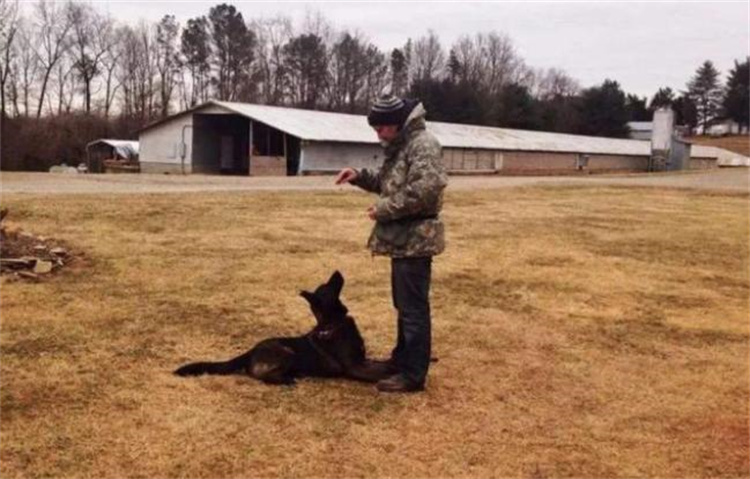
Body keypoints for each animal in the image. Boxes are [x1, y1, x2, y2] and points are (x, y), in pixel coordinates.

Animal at [174, 270, 390, 386]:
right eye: (327, 286)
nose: (336, 272)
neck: (332, 323)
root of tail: (250, 351)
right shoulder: (355, 367)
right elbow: (379, 372)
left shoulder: (363, 360)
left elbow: (382, 364)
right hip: (287, 351)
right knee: (260, 376)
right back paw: (287, 380)